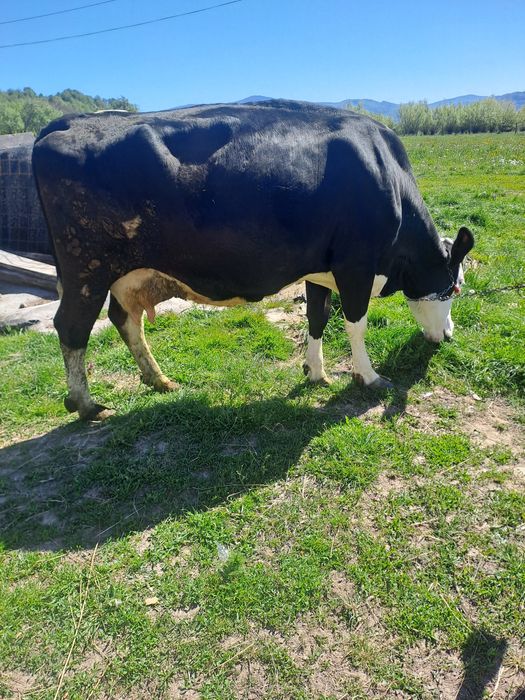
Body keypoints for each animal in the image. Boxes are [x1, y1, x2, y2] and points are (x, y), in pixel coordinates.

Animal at [32, 100, 474, 420]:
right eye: (455, 288)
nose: (449, 336)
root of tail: (67, 122)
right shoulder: (357, 266)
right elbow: (355, 324)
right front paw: (368, 377)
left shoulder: (319, 268)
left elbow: (317, 317)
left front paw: (315, 372)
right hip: (85, 268)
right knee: (71, 327)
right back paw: (86, 405)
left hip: (123, 272)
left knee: (125, 319)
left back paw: (158, 380)